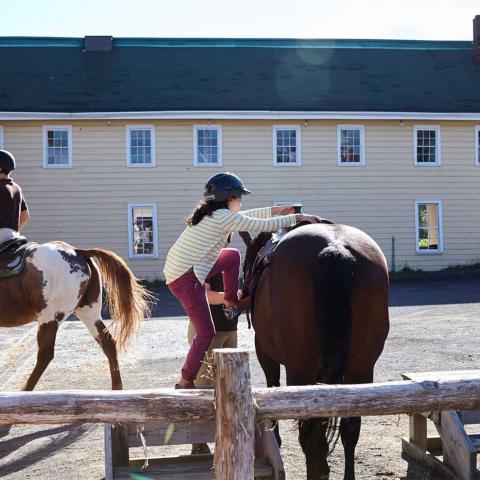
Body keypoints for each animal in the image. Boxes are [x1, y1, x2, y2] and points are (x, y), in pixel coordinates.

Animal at [0, 228, 151, 390]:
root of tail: (78, 252)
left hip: (49, 317)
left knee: (45, 354)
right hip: (88, 312)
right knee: (108, 343)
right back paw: (116, 387)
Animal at [244, 223, 390, 480]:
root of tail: (335, 247)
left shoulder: (264, 351)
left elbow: (272, 385)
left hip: (300, 369)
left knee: (311, 433)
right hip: (361, 368)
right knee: (350, 427)